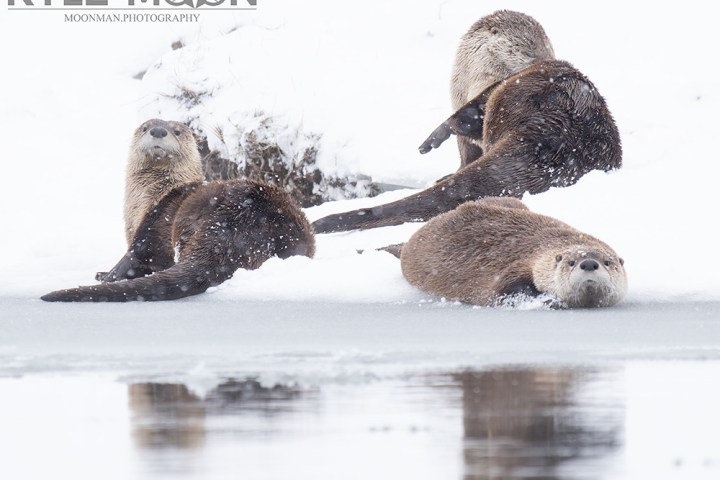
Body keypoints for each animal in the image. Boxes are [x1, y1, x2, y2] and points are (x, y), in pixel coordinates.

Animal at [42, 120, 315, 302]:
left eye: (177, 131)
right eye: (146, 127)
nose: (158, 130)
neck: (147, 199)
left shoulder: (145, 229)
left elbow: (129, 259)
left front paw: (105, 275)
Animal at [312, 12, 620, 234]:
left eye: (543, 46)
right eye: (520, 46)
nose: (538, 58)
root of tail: (552, 146)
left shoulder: (487, 92)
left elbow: (464, 120)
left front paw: (432, 141)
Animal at [399, 198, 627, 308]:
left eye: (608, 262)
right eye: (571, 262)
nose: (588, 263)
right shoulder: (518, 266)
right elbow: (504, 292)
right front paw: (549, 301)